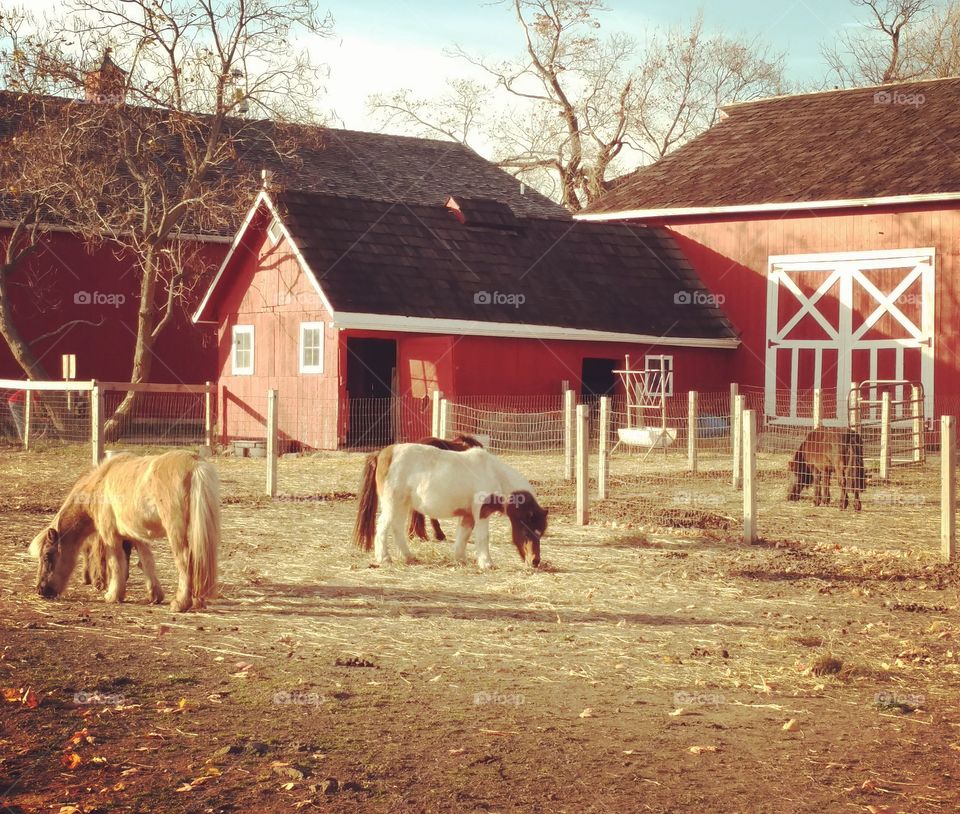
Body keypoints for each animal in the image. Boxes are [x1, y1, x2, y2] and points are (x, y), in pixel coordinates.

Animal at [28, 450, 220, 612]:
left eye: (47, 556)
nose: (41, 590)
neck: (101, 482)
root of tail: (194, 464)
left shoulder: (111, 537)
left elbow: (115, 563)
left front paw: (113, 595)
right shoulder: (137, 536)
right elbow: (147, 562)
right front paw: (154, 595)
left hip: (176, 532)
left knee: (185, 561)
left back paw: (180, 603)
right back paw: (197, 601)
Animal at [353, 444, 547, 569]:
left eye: (540, 533)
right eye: (527, 532)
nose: (535, 561)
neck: (494, 474)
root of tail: (383, 453)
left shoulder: (468, 515)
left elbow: (463, 535)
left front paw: (461, 559)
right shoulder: (482, 512)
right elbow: (483, 537)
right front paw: (486, 563)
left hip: (403, 504)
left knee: (397, 528)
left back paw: (409, 557)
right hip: (393, 503)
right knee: (382, 527)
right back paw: (384, 558)